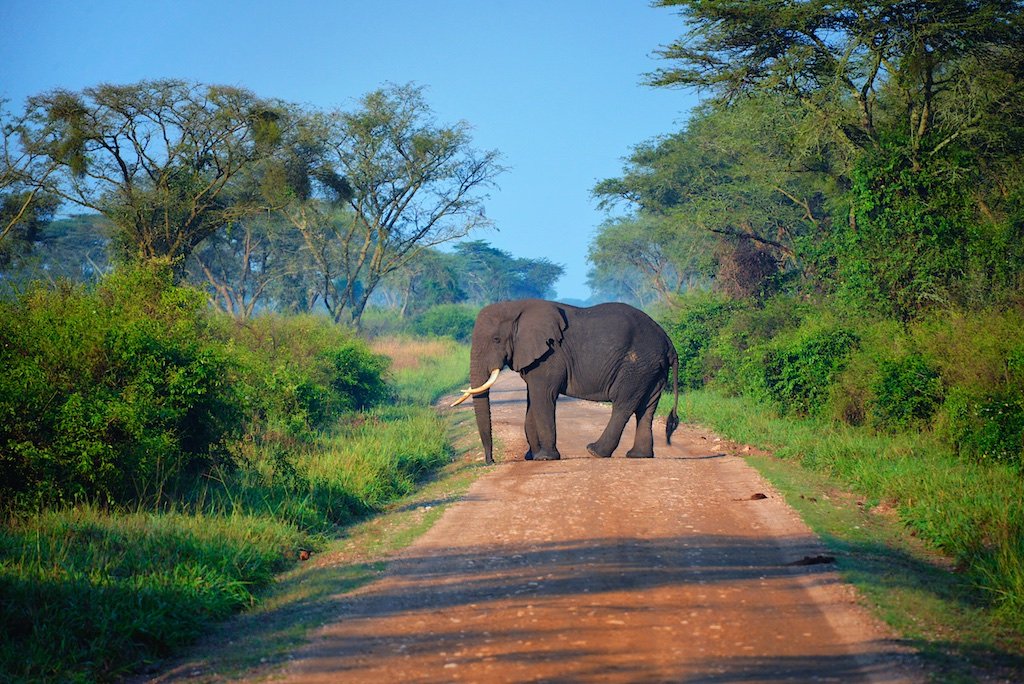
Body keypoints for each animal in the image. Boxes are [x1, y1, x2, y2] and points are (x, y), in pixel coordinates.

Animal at [450, 298, 675, 464]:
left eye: (496, 340)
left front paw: (545, 458)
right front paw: (532, 457)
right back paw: (638, 456)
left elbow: (543, 398)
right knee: (646, 408)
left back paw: (595, 451)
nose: (491, 461)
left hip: (637, 365)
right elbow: (532, 401)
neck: (516, 307)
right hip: (652, 369)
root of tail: (667, 341)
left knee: (623, 404)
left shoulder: (550, 356)